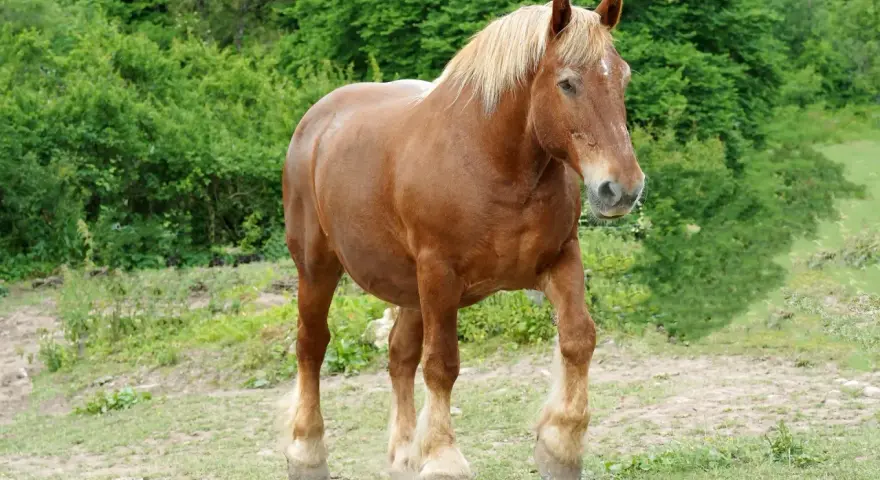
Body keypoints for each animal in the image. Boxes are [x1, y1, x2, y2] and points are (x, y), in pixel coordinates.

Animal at [280, 0, 644, 478]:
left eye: (623, 77)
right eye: (567, 83)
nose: (623, 189)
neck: (493, 161)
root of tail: (316, 122)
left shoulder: (561, 260)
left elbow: (579, 339)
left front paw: (560, 446)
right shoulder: (439, 275)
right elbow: (441, 364)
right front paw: (443, 458)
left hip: (408, 289)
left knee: (398, 355)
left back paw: (403, 454)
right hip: (317, 268)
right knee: (312, 347)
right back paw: (306, 451)